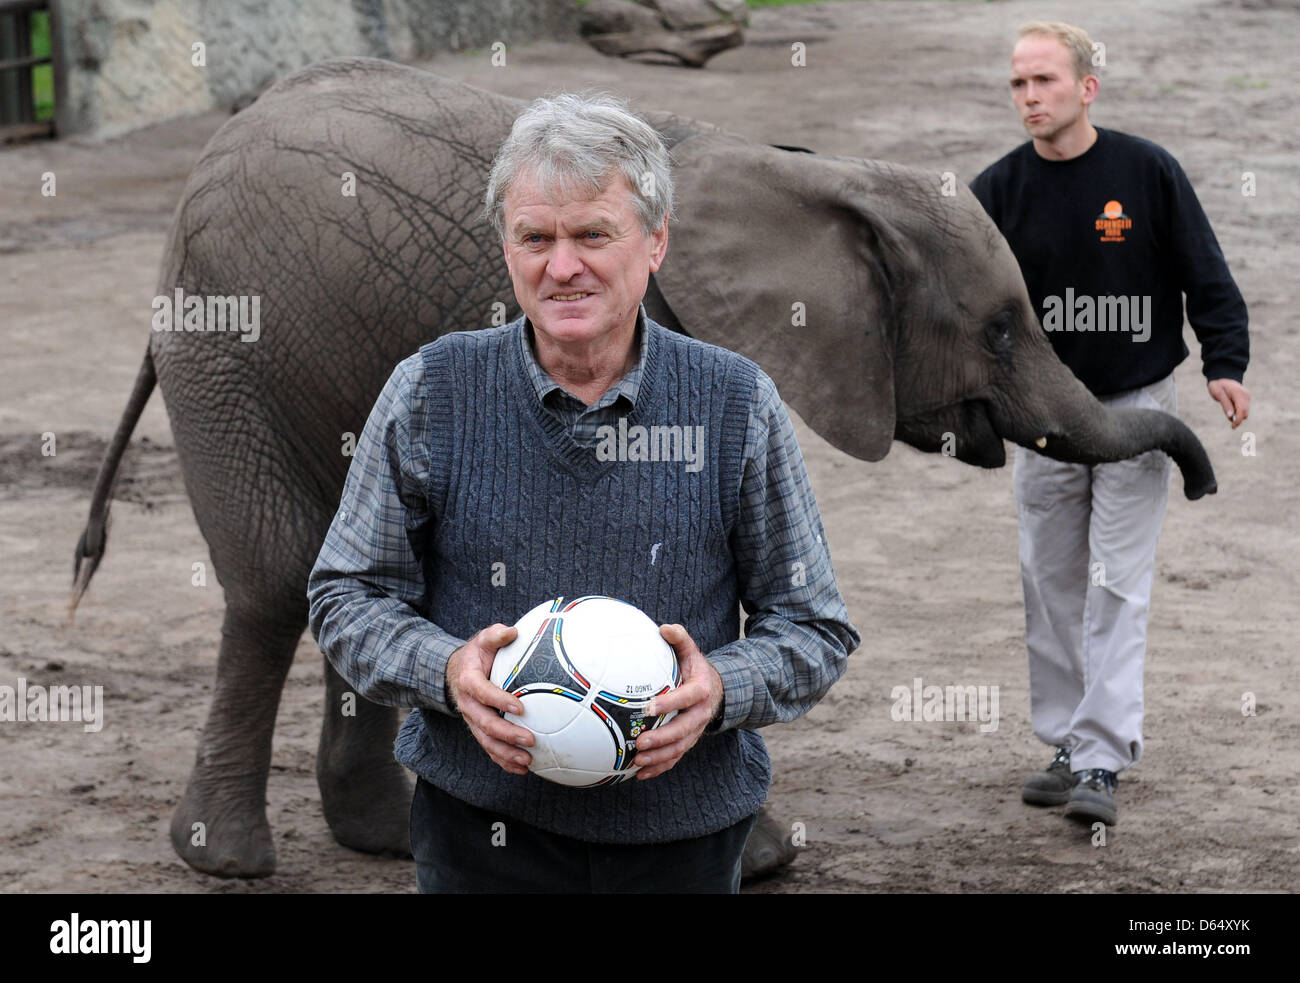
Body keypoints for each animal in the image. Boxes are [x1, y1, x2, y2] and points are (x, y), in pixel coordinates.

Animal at [73, 57, 1216, 878]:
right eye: (999, 331)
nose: (1203, 478)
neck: (818, 176)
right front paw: (759, 860)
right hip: (227, 335)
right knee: (275, 578)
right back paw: (227, 860)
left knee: (355, 570)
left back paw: (385, 838)